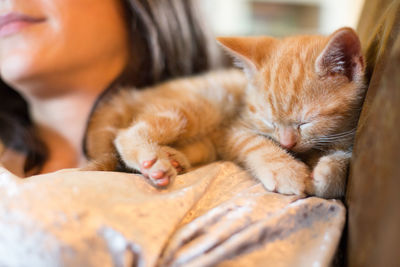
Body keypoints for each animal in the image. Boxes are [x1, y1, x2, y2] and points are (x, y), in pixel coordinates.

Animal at [84, 27, 366, 199]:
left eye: (306, 122)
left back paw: (173, 158)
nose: (287, 143)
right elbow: (257, 144)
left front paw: (327, 174)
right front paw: (285, 170)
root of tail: (132, 95)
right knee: (125, 135)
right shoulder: (235, 129)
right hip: (201, 106)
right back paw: (154, 161)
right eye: (269, 122)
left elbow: (345, 160)